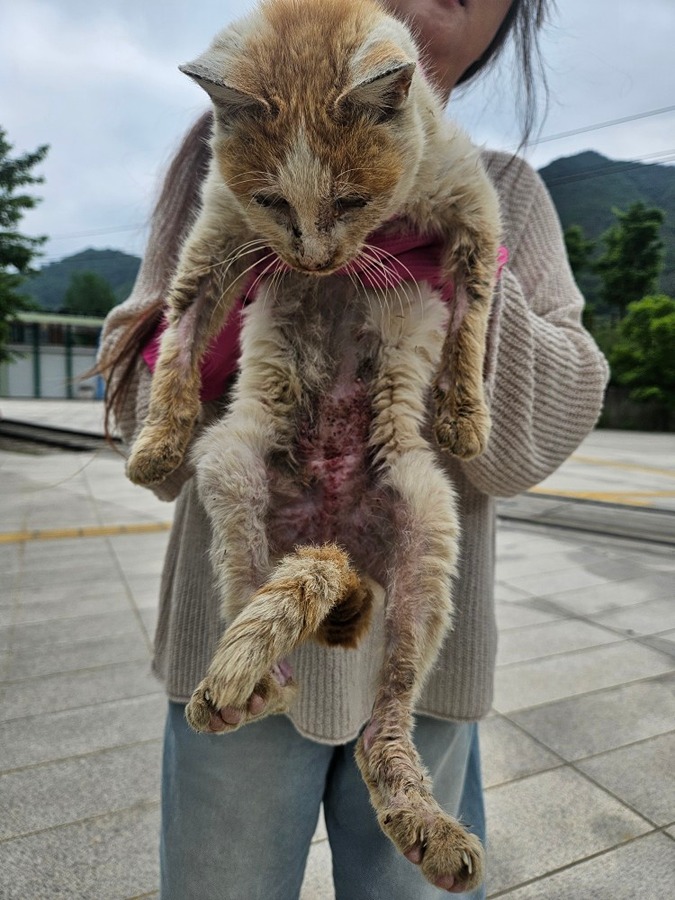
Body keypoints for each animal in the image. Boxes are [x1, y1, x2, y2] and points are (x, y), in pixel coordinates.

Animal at [127, 0, 502, 888]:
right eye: (273, 199)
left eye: (350, 199)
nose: (314, 257)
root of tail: (337, 543)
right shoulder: (218, 230)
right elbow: (180, 330)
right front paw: (154, 444)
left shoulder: (469, 205)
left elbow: (472, 314)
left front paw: (464, 417)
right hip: (234, 486)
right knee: (270, 662)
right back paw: (235, 687)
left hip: (427, 539)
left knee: (383, 719)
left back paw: (429, 832)